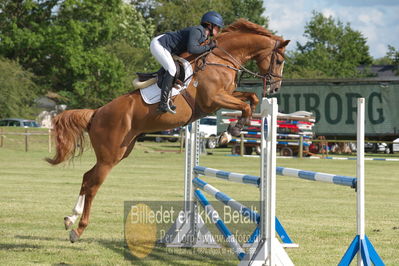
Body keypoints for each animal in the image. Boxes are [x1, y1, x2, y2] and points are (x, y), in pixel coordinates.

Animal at [47, 19, 290, 242]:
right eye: (278, 60)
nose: (275, 88)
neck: (221, 60)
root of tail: (96, 113)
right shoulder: (214, 99)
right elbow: (247, 105)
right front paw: (229, 132)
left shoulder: (226, 96)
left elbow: (252, 98)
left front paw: (229, 131)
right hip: (110, 155)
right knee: (93, 185)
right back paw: (78, 230)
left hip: (120, 152)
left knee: (87, 177)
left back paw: (70, 218)